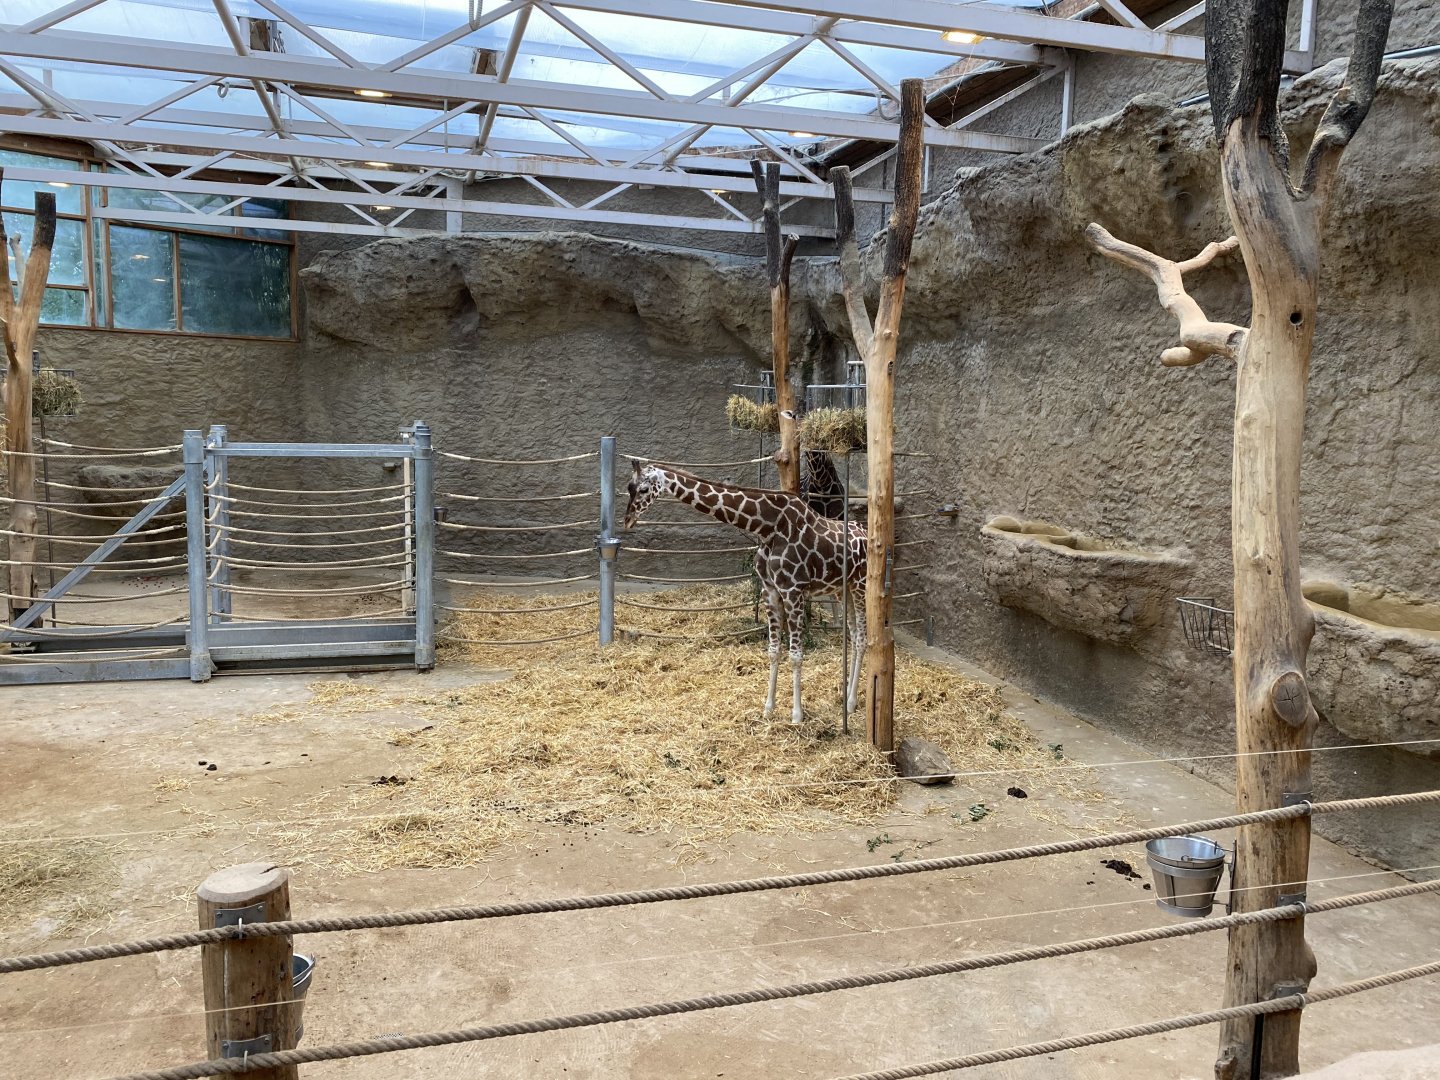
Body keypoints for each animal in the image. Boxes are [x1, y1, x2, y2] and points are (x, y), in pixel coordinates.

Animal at [624, 461, 866, 725]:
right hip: (844, 589)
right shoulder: (770, 591)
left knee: (863, 638)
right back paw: (847, 700)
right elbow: (773, 651)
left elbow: (796, 655)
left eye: (644, 489)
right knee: (854, 636)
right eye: (629, 487)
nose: (627, 520)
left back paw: (852, 703)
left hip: (861, 585)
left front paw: (796, 715)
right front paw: (768, 708)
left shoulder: (793, 590)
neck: (768, 527)